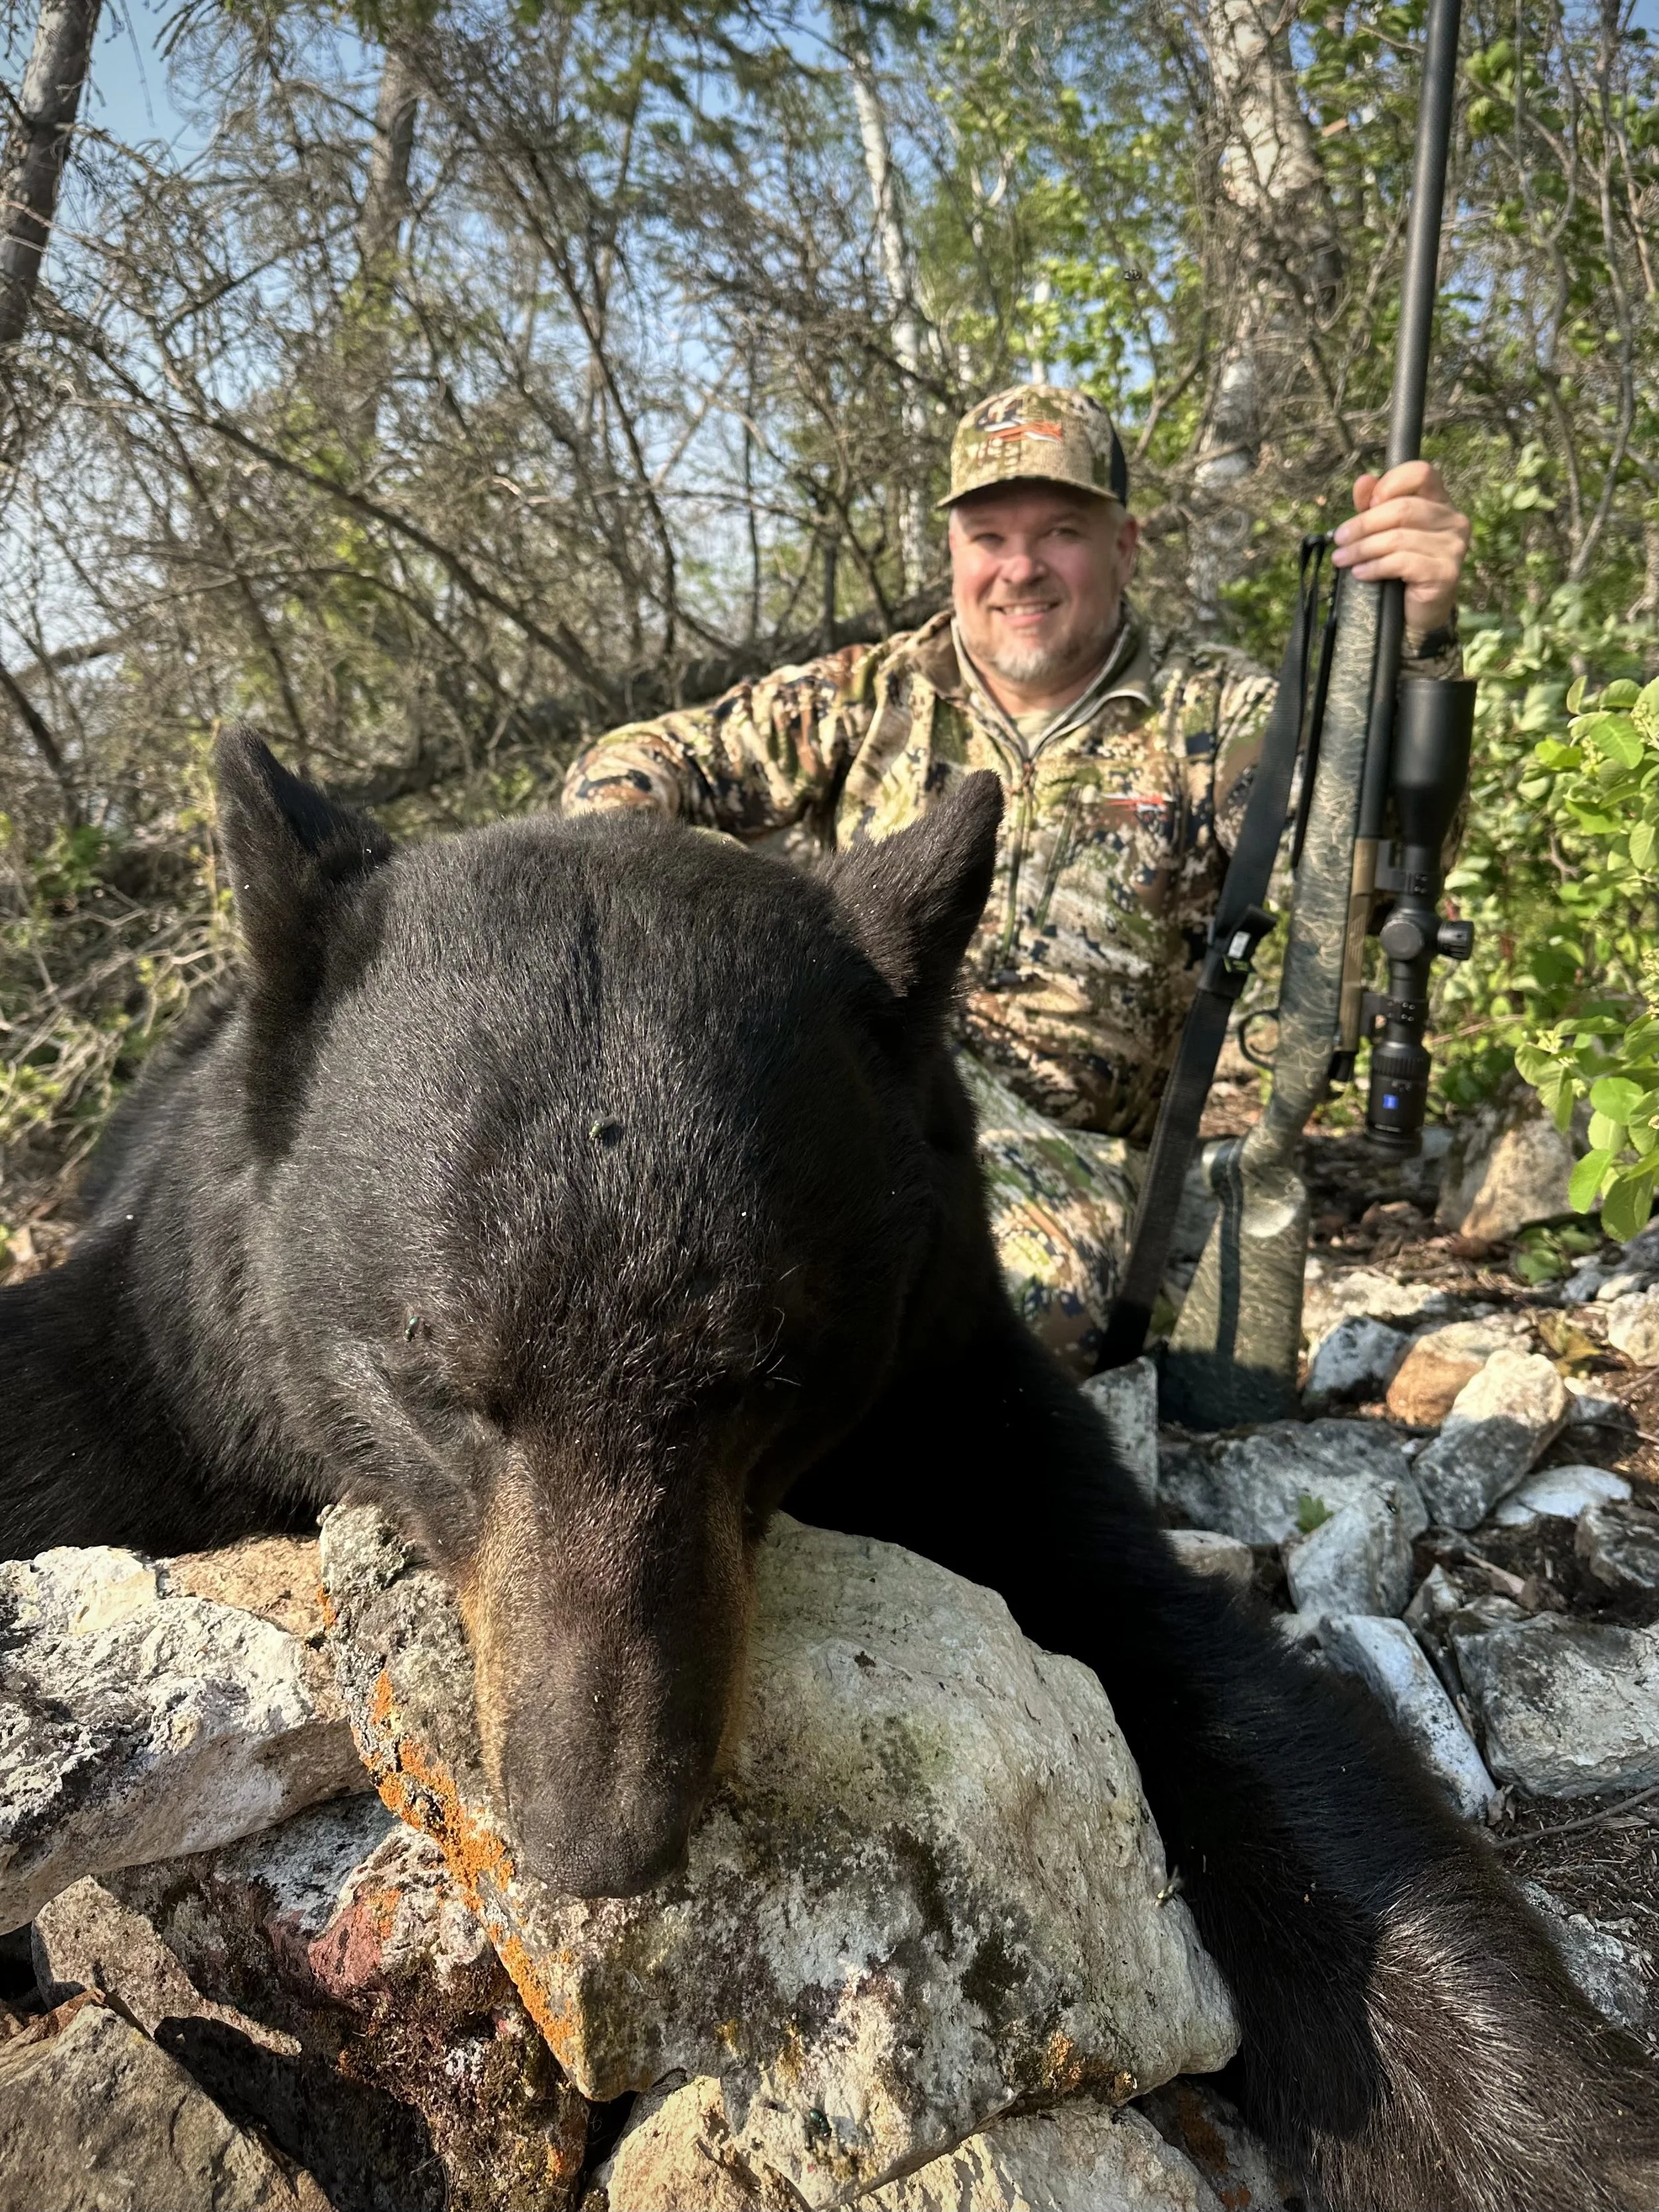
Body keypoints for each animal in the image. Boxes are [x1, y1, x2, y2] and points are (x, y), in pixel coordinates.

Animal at [1, 728, 1654, 2212]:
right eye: (440, 1387)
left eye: (767, 1379)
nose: (600, 1830)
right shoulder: (179, 1331)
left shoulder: (952, 1393)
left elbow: (1224, 1694)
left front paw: (1542, 2125)